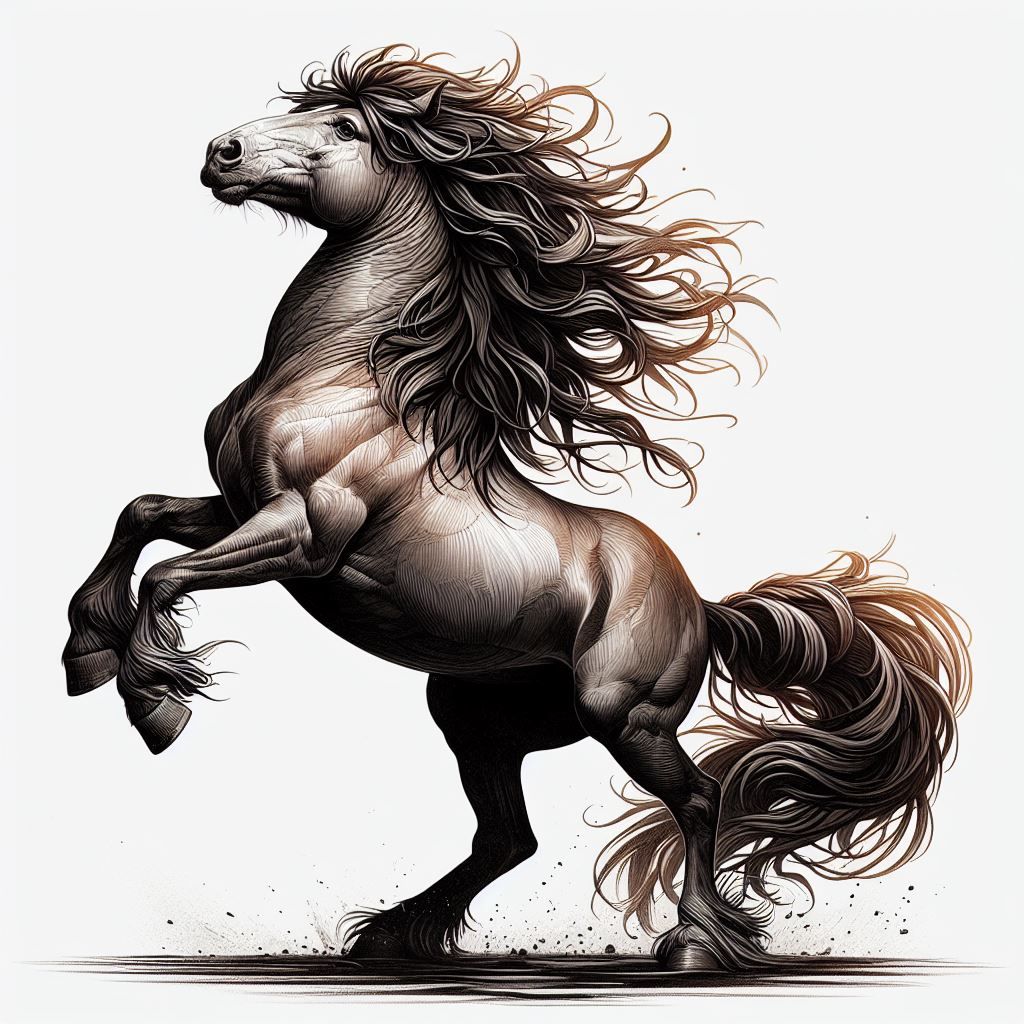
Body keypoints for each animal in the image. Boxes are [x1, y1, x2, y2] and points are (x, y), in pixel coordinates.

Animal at [63, 45, 971, 972]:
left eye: (346, 127)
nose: (224, 152)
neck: (340, 376)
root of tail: (704, 609)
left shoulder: (304, 534)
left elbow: (169, 576)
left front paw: (155, 704)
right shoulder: (237, 507)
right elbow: (140, 516)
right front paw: (86, 651)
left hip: (623, 715)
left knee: (700, 797)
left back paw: (690, 943)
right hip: (478, 717)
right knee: (509, 837)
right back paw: (393, 933)